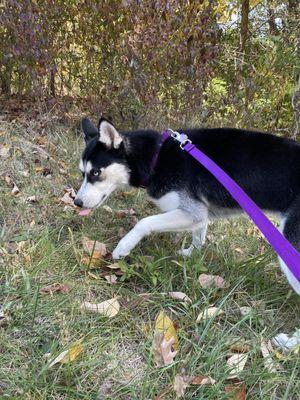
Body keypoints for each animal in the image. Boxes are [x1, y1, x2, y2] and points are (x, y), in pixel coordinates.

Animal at [74, 115, 300, 294]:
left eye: (96, 173)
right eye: (82, 173)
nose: (76, 202)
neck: (157, 157)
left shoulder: (191, 212)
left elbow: (144, 222)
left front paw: (124, 246)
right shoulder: (200, 214)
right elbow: (199, 236)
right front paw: (191, 255)